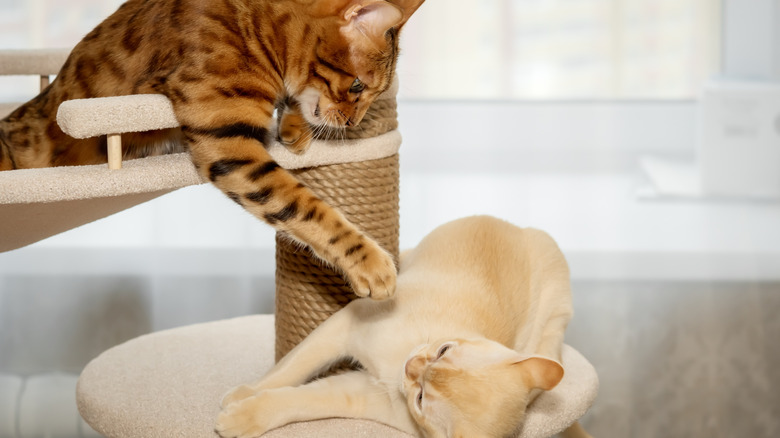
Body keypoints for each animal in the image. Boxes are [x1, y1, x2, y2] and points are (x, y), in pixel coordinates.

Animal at [0, 0, 426, 298]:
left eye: (370, 93)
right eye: (357, 86)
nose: (353, 123)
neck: (258, 26)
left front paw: (294, 126)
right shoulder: (227, 141)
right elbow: (305, 208)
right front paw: (371, 263)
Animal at [216, 216, 588, 438]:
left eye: (421, 398)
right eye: (443, 350)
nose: (413, 365)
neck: (393, 368)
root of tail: (521, 229)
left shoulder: (355, 394)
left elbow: (294, 402)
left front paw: (238, 417)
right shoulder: (348, 322)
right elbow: (289, 368)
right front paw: (243, 392)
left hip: (550, 327)